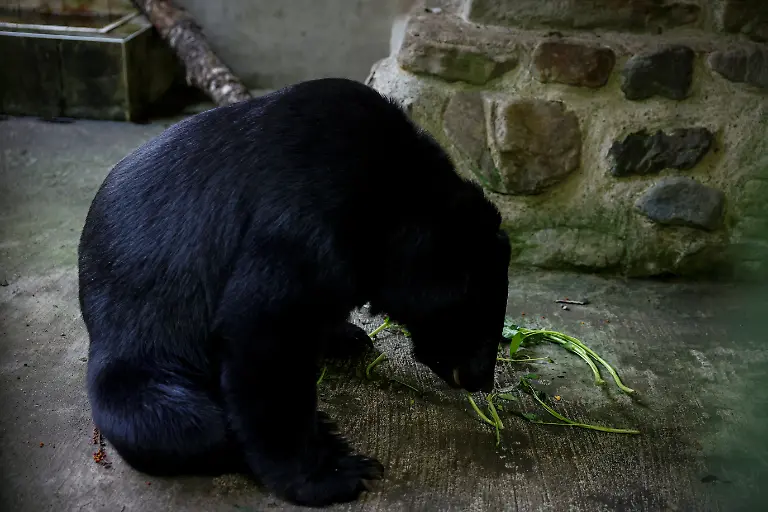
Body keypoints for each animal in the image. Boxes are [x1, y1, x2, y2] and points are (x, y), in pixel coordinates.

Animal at [78, 77, 511, 507]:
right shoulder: (306, 219)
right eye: (477, 317)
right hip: (138, 349)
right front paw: (336, 474)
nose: (482, 380)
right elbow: (266, 334)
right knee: (181, 421)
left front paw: (347, 337)